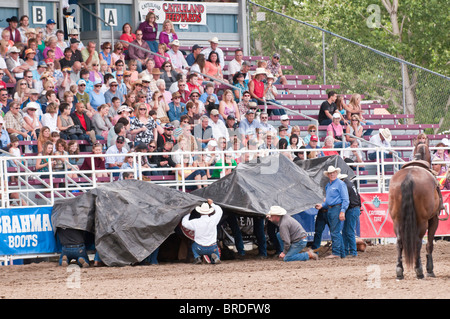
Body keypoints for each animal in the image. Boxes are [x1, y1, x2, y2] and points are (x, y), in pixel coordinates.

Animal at [386, 144, 440, 282]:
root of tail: (409, 177)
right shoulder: (434, 219)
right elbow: (429, 244)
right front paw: (430, 270)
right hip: (422, 222)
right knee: (417, 242)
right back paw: (419, 271)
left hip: (397, 220)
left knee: (399, 242)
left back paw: (399, 271)